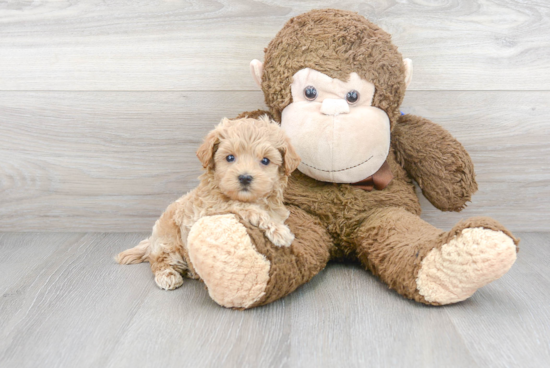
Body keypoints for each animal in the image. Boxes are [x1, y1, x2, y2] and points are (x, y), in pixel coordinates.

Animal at [115, 117, 302, 290]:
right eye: (230, 157)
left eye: (265, 161)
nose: (245, 177)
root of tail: (152, 241)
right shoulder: (211, 208)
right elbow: (247, 208)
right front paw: (280, 231)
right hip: (168, 243)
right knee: (158, 260)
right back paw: (167, 276)